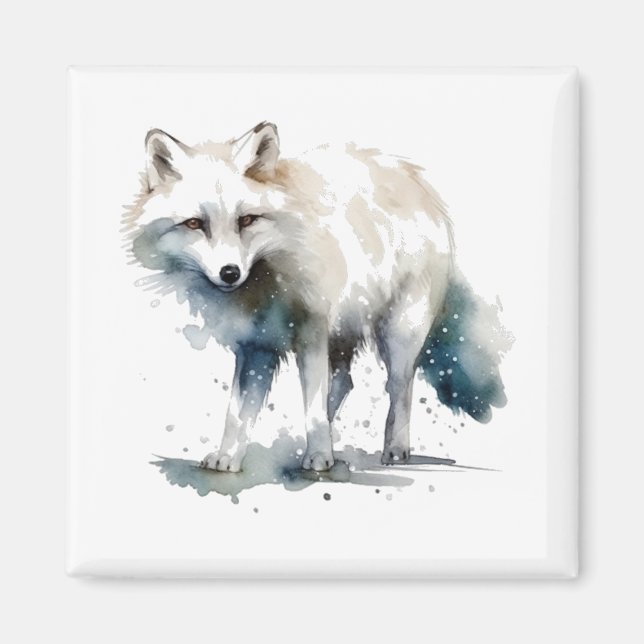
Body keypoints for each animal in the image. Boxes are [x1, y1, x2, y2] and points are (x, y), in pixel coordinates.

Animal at [123, 121, 507, 473]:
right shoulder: (256, 345)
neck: (269, 278)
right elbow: (238, 413)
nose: (230, 272)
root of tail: (412, 176)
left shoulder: (311, 331)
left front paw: (320, 456)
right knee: (344, 383)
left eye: (246, 220)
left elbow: (312, 402)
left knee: (399, 387)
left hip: (398, 332)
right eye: (194, 224)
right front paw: (229, 456)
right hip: (341, 335)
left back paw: (394, 449)